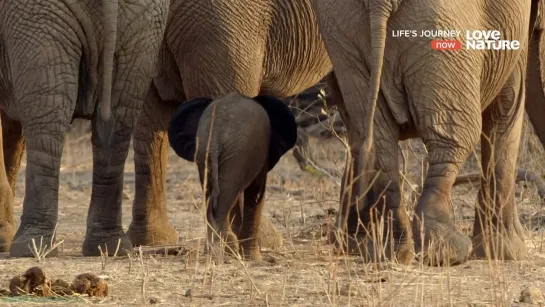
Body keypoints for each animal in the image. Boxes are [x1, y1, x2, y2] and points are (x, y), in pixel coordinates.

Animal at [168, 92, 298, 260]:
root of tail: (216, 138)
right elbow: (255, 195)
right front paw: (253, 258)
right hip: (237, 154)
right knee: (227, 196)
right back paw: (228, 248)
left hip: (207, 152)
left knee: (214, 194)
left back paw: (216, 250)